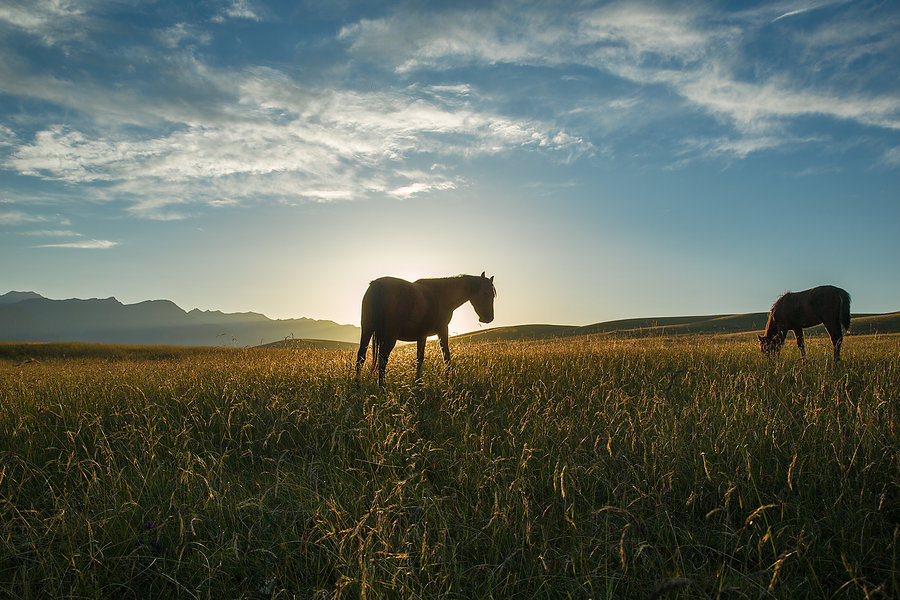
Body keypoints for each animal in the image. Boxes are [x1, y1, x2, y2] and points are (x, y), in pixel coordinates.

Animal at [356, 270, 496, 384]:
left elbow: (419, 359)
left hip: (367, 329)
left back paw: (358, 386)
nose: (489, 318)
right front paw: (448, 379)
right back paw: (382, 388)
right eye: (486, 293)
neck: (440, 295)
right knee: (382, 360)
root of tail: (377, 285)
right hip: (390, 336)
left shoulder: (421, 336)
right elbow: (446, 356)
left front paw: (418, 382)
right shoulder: (442, 330)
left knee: (361, 357)